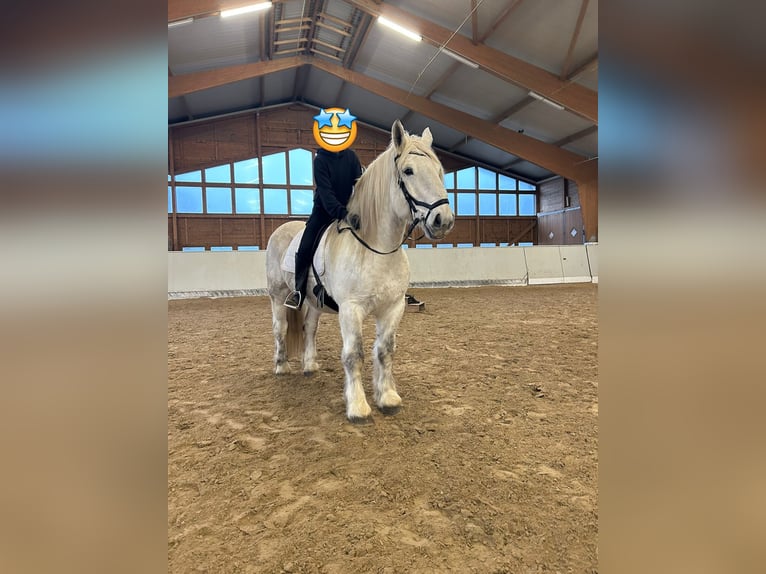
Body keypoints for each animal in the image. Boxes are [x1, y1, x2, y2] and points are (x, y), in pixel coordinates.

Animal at [265, 120, 455, 423]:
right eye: (408, 171)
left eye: (439, 172)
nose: (443, 220)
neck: (377, 249)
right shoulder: (351, 310)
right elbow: (354, 354)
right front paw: (357, 407)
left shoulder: (393, 308)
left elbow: (385, 352)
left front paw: (387, 398)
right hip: (278, 296)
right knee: (280, 327)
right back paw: (282, 366)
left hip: (313, 302)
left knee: (309, 328)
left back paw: (310, 366)